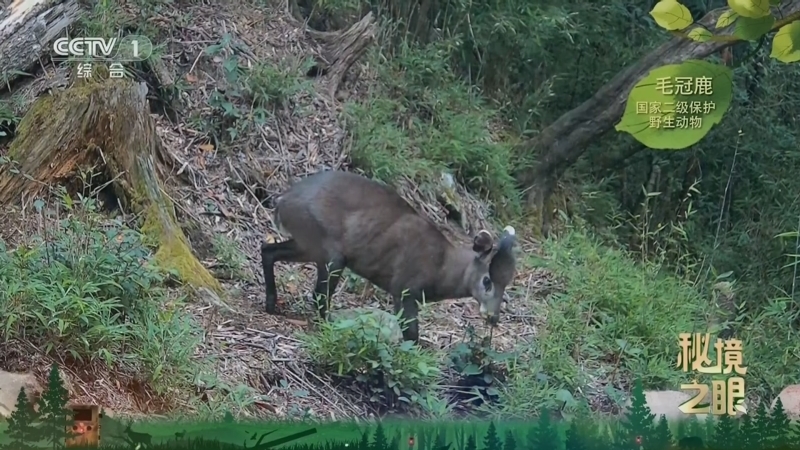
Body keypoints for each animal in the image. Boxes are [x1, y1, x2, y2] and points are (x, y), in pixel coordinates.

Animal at [260, 170, 517, 343]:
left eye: (506, 285)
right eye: (487, 280)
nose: (493, 318)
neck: (442, 266)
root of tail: (282, 202)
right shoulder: (405, 289)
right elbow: (411, 334)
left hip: (308, 246)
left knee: (267, 250)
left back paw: (272, 305)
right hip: (329, 252)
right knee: (318, 296)